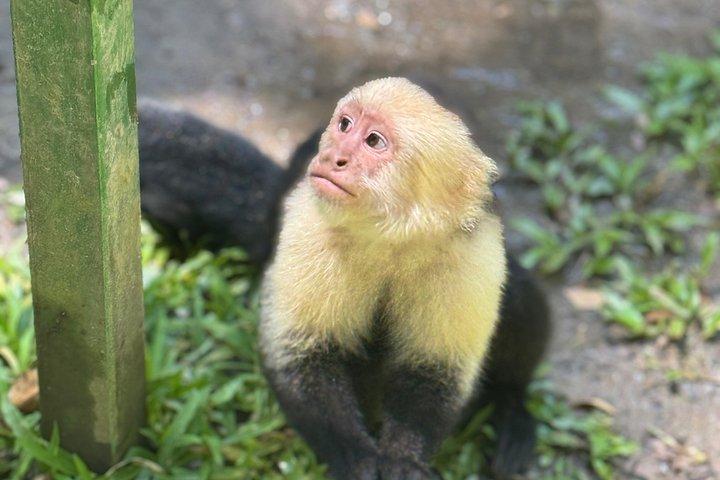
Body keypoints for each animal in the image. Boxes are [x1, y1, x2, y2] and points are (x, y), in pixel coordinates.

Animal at [259, 77, 551, 480]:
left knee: (520, 295)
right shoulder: (310, 225)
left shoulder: (469, 251)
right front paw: (358, 460)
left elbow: (435, 370)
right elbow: (302, 357)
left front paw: (404, 460)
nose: (334, 156)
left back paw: (511, 403)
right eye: (345, 125)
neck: (391, 237)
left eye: (373, 141)